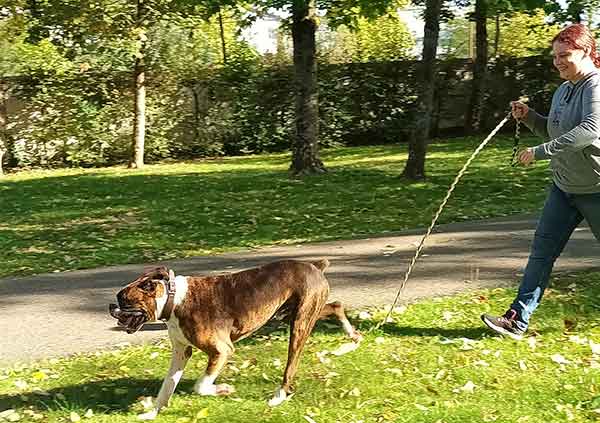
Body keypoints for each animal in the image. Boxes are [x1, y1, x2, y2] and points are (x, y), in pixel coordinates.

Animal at [108, 258, 360, 420]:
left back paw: (278, 397)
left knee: (290, 366)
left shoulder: (221, 351)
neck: (175, 299)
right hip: (294, 313)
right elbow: (166, 387)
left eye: (123, 301)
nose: (111, 306)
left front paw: (224, 389)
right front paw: (151, 413)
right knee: (336, 305)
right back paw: (353, 336)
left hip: (299, 324)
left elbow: (201, 386)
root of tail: (314, 266)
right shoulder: (181, 353)